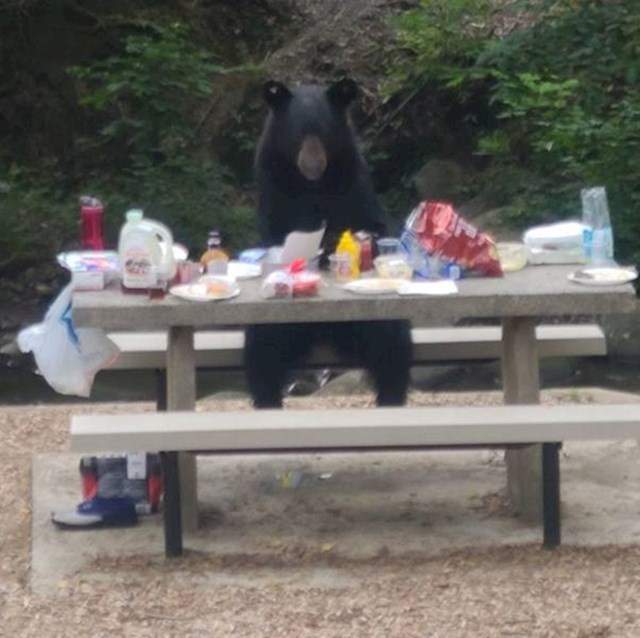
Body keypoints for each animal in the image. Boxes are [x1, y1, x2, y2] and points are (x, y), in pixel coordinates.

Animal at [242, 80, 412, 410]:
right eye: (297, 134)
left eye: (324, 132)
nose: (313, 165)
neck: (312, 186)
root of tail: (324, 337)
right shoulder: (274, 183)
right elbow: (276, 233)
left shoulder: (351, 181)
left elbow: (372, 224)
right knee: (263, 351)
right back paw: (268, 398)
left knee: (391, 345)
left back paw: (390, 396)